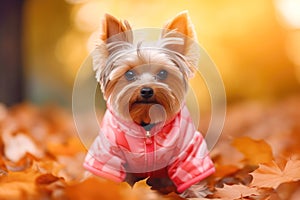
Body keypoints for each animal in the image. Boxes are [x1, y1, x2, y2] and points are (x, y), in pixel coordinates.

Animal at [84, 11, 216, 198]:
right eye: (129, 74)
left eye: (162, 73)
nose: (146, 90)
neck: (146, 122)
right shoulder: (107, 150)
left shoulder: (188, 148)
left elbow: (189, 170)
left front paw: (195, 194)